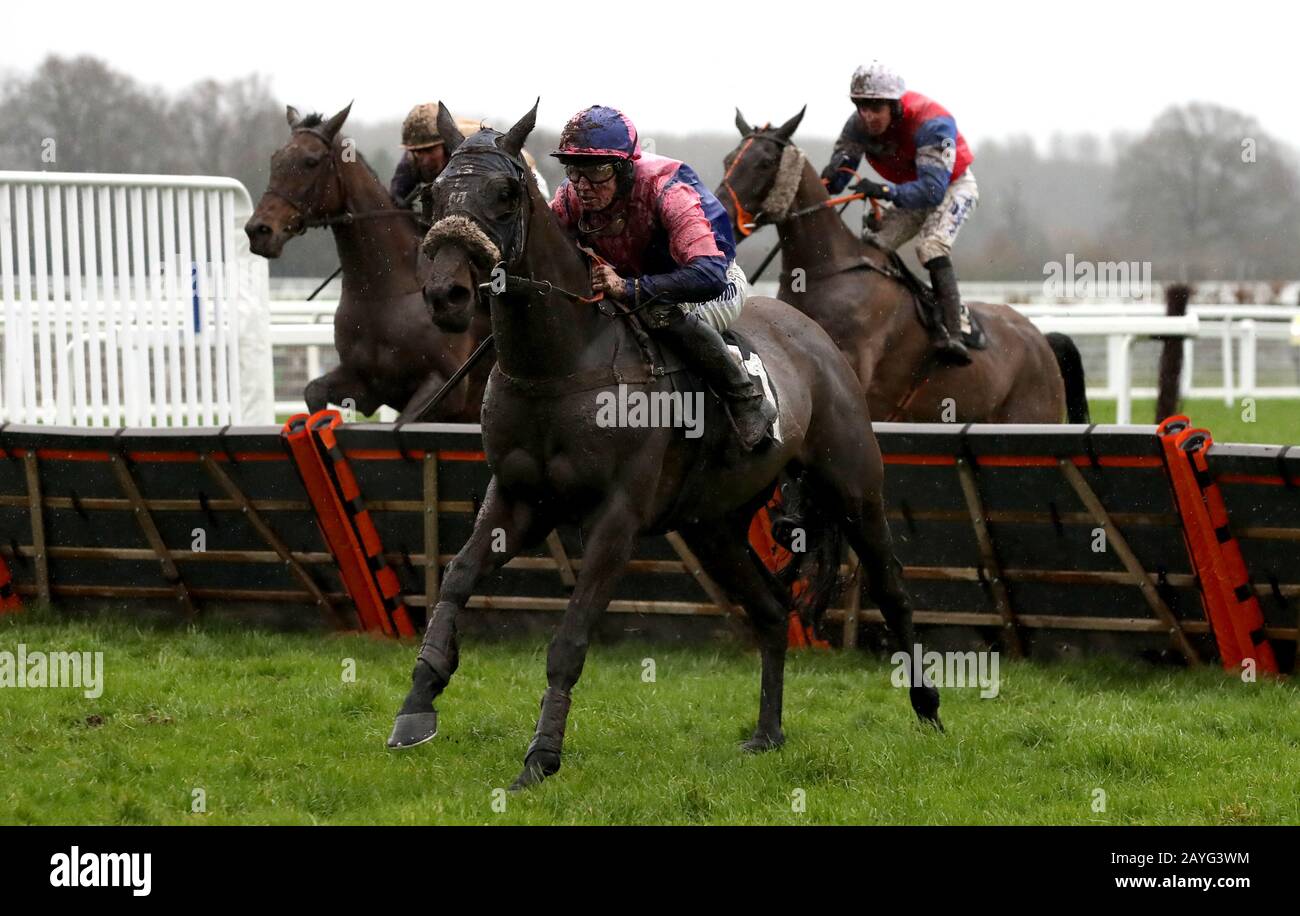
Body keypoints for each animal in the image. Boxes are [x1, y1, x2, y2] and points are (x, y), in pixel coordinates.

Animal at [244, 102, 491, 420]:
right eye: (275, 159)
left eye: (311, 161)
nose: (258, 230)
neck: (384, 292)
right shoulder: (367, 386)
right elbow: (313, 390)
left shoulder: (446, 390)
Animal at [384, 100, 946, 784]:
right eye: (436, 193)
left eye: (506, 193)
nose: (447, 295)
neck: (560, 363)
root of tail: (813, 331)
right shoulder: (518, 499)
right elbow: (459, 576)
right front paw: (417, 703)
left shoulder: (616, 518)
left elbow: (569, 639)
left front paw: (540, 758)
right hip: (713, 524)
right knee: (769, 610)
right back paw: (768, 732)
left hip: (853, 487)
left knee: (892, 589)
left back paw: (928, 708)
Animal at [717, 109, 1092, 423]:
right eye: (728, 159)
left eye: (766, 162)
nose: (720, 213)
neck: (827, 271)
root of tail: (1041, 339)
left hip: (1030, 416)